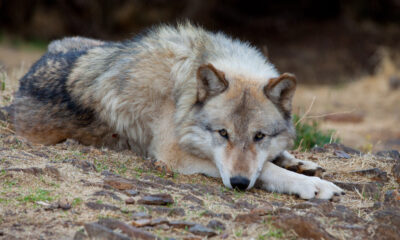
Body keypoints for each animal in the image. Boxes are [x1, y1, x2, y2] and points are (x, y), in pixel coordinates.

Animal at [10, 23, 346, 199]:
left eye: (259, 136)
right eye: (222, 133)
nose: (239, 184)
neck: (182, 85)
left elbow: (267, 161)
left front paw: (298, 165)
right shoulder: (172, 155)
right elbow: (266, 170)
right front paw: (312, 185)